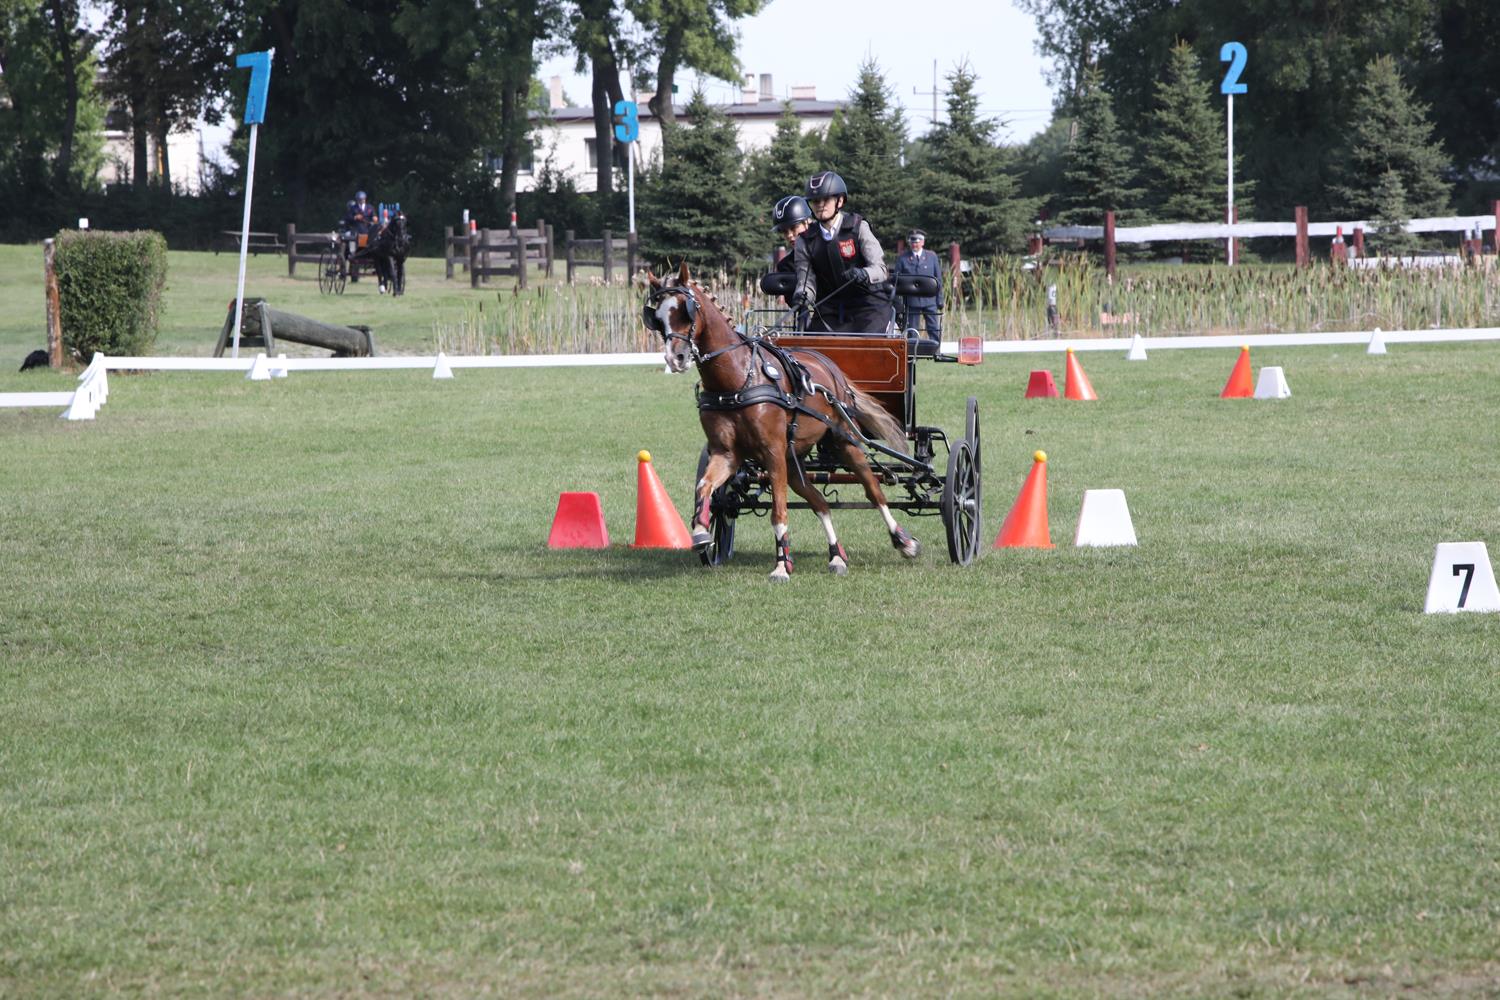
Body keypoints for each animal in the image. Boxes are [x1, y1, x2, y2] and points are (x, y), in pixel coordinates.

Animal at [644, 262, 922, 582]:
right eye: (657, 317)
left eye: (686, 311)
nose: (675, 358)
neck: (738, 380)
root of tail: (828, 364)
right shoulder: (726, 454)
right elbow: (705, 486)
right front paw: (702, 531)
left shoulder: (772, 452)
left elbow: (779, 511)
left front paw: (781, 565)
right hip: (794, 460)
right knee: (820, 501)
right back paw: (837, 556)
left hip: (843, 442)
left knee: (874, 491)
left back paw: (904, 541)